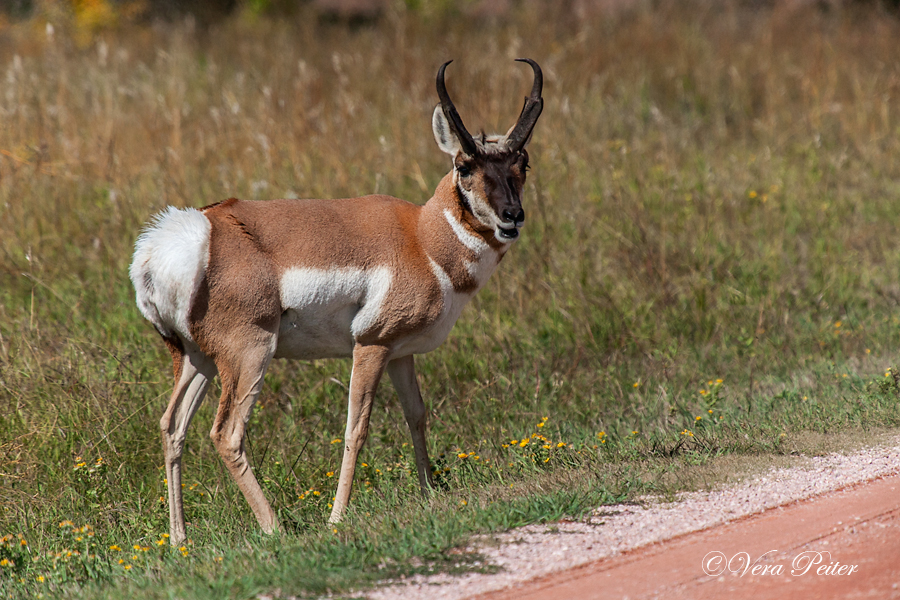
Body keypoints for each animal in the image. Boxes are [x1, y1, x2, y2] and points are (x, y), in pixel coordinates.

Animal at [130, 57, 544, 544]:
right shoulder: (371, 346)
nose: (512, 217)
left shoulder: (401, 354)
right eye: (465, 165)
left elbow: (417, 415)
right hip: (249, 354)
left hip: (198, 360)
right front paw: (337, 518)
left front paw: (429, 496)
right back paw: (275, 529)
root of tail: (190, 234)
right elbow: (356, 429)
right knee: (227, 434)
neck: (421, 237)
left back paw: (180, 540)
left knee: (172, 425)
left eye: (523, 162)